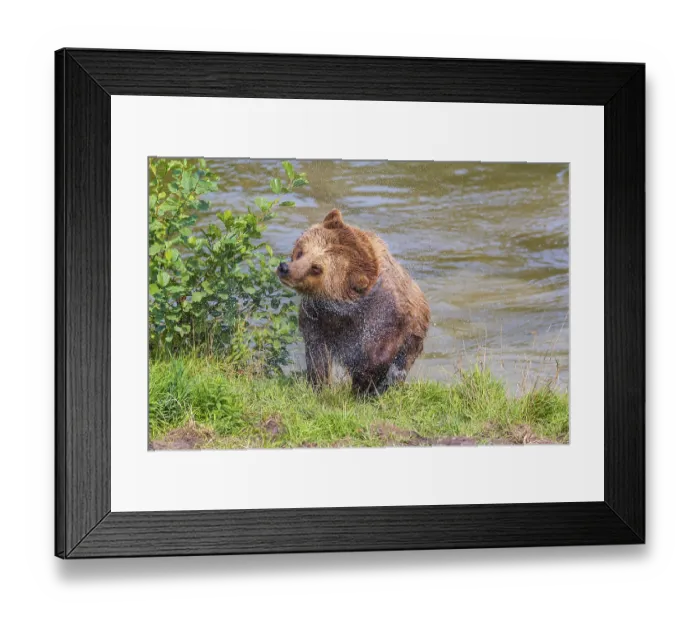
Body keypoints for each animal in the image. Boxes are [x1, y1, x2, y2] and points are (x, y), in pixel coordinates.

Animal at [277, 209, 430, 395]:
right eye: (301, 252)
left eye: (316, 268)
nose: (285, 268)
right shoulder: (317, 314)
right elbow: (317, 352)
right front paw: (319, 386)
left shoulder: (383, 315)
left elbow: (375, 357)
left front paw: (362, 388)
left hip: (413, 335)